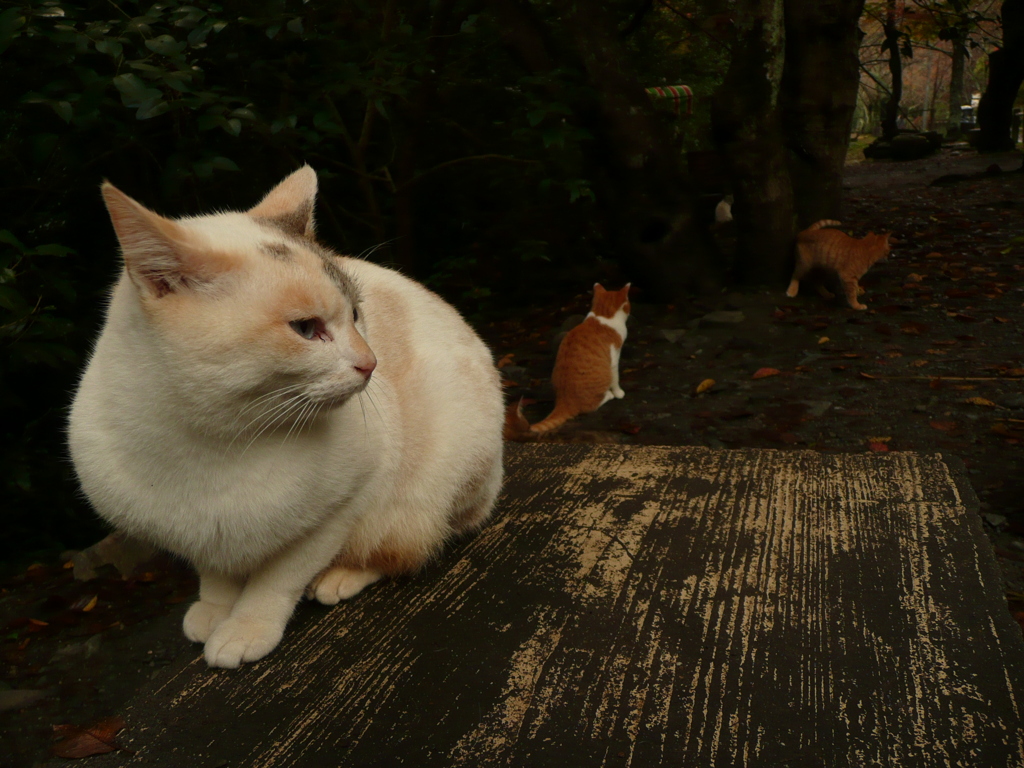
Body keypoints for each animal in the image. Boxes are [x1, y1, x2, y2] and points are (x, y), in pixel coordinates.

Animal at [66, 166, 505, 667]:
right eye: (305, 329)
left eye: (357, 314)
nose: (371, 363)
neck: (213, 441)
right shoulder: (196, 533)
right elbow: (214, 570)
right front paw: (215, 608)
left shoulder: (347, 502)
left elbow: (279, 577)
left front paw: (247, 626)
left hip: (439, 477)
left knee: (406, 544)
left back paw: (343, 576)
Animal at [505, 284, 630, 438]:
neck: (602, 316)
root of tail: (564, 402)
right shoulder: (614, 360)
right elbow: (616, 379)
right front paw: (619, 393)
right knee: (591, 406)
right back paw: (608, 395)